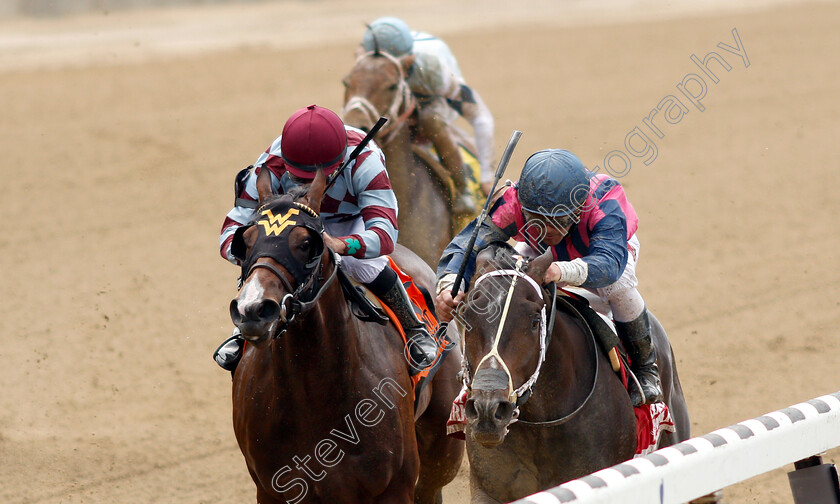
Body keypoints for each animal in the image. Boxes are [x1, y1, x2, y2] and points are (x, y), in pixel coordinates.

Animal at [228, 170, 466, 504]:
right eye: (245, 242)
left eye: (306, 243)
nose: (252, 309)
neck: (314, 396)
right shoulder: (273, 490)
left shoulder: (395, 487)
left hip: (442, 449)